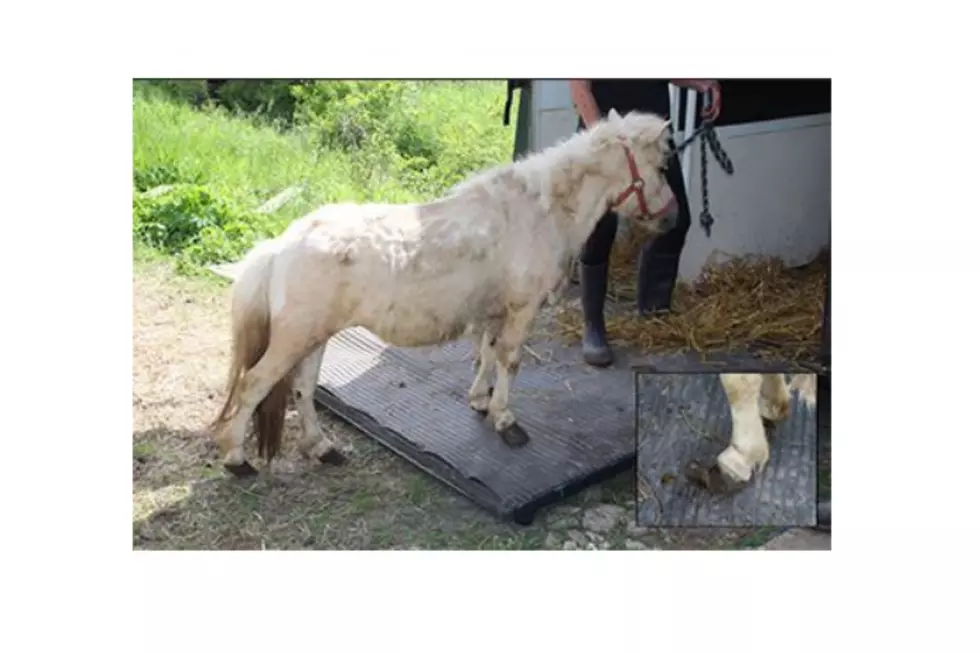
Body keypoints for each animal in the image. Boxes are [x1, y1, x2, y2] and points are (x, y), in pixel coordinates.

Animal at [209, 109, 680, 477]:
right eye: (661, 167)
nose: (672, 218)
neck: (538, 212)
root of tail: (282, 244)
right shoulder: (522, 309)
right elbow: (510, 360)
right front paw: (505, 420)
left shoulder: (495, 310)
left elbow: (488, 353)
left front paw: (480, 401)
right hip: (295, 338)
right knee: (254, 384)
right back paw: (237, 459)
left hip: (314, 337)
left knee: (303, 389)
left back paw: (322, 449)